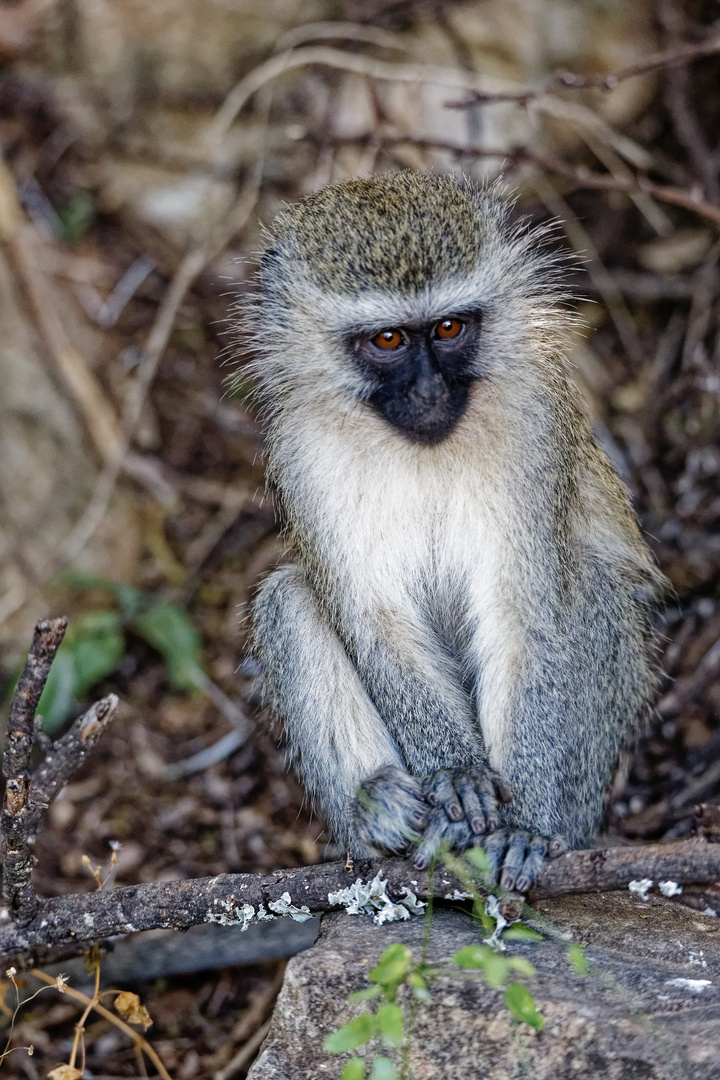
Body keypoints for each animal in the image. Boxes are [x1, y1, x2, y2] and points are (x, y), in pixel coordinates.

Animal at [245, 172, 669, 889]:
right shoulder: (301, 450)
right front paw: (458, 774)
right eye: (388, 341)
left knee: (590, 586)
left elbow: (526, 619)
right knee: (287, 599)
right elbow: (374, 621)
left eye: (449, 328)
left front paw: (524, 824)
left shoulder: (537, 423)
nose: (429, 393)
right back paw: (379, 812)